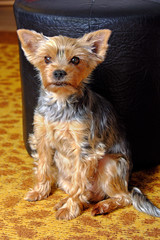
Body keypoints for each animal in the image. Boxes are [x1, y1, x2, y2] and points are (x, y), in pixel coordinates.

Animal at [17, 28, 160, 219]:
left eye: (75, 60)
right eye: (46, 58)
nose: (59, 72)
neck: (60, 101)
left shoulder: (84, 148)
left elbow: (80, 180)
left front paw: (70, 210)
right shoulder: (42, 138)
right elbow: (42, 167)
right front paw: (40, 192)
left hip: (109, 163)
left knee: (123, 197)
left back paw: (101, 206)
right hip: (64, 172)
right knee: (87, 193)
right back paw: (68, 201)